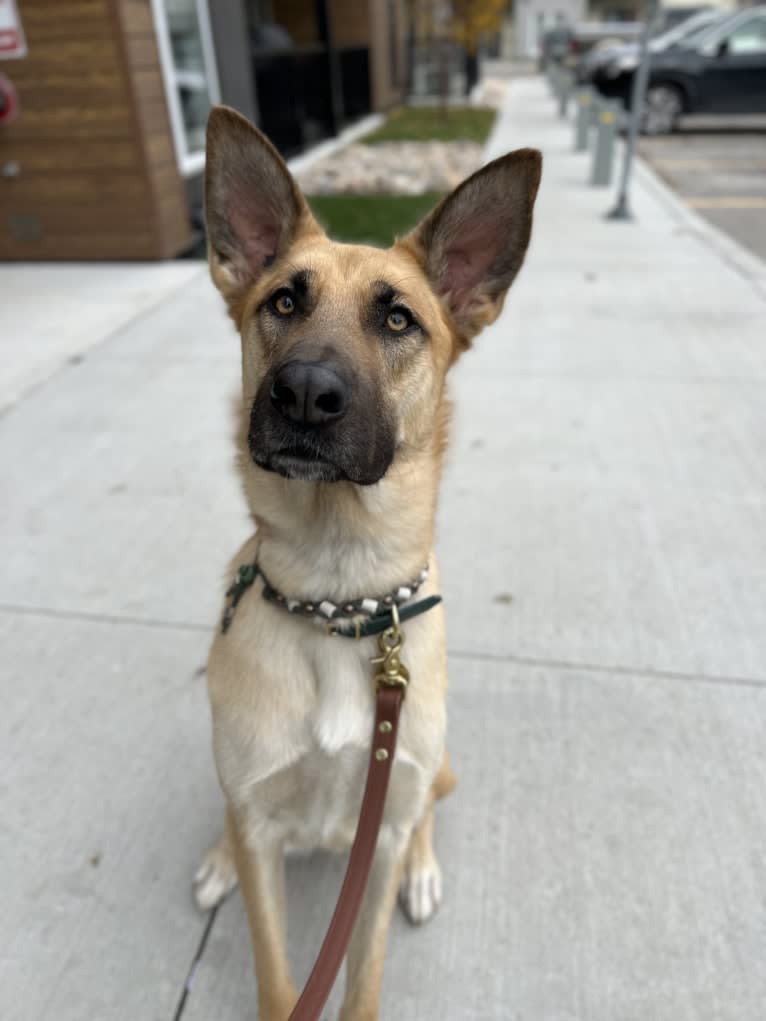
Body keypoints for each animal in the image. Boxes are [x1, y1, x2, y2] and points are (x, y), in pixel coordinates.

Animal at [195, 105, 543, 1021]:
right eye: (284, 301)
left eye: (398, 321)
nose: (305, 394)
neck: (339, 594)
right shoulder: (261, 824)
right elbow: (279, 974)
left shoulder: (378, 836)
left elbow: (365, 973)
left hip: (425, 773)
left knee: (424, 814)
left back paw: (425, 869)